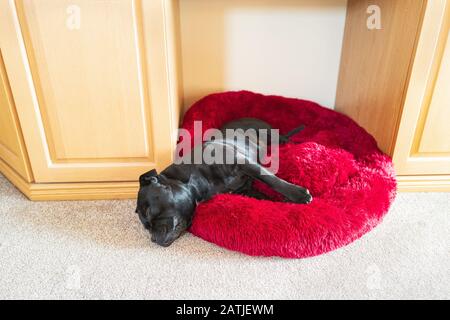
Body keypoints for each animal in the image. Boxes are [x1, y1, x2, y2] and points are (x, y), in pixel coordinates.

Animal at [135, 119, 312, 246]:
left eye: (150, 213)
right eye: (146, 227)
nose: (153, 239)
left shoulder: (243, 161)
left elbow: (271, 179)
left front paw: (298, 194)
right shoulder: (246, 190)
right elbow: (265, 197)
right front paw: (284, 202)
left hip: (270, 135)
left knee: (284, 140)